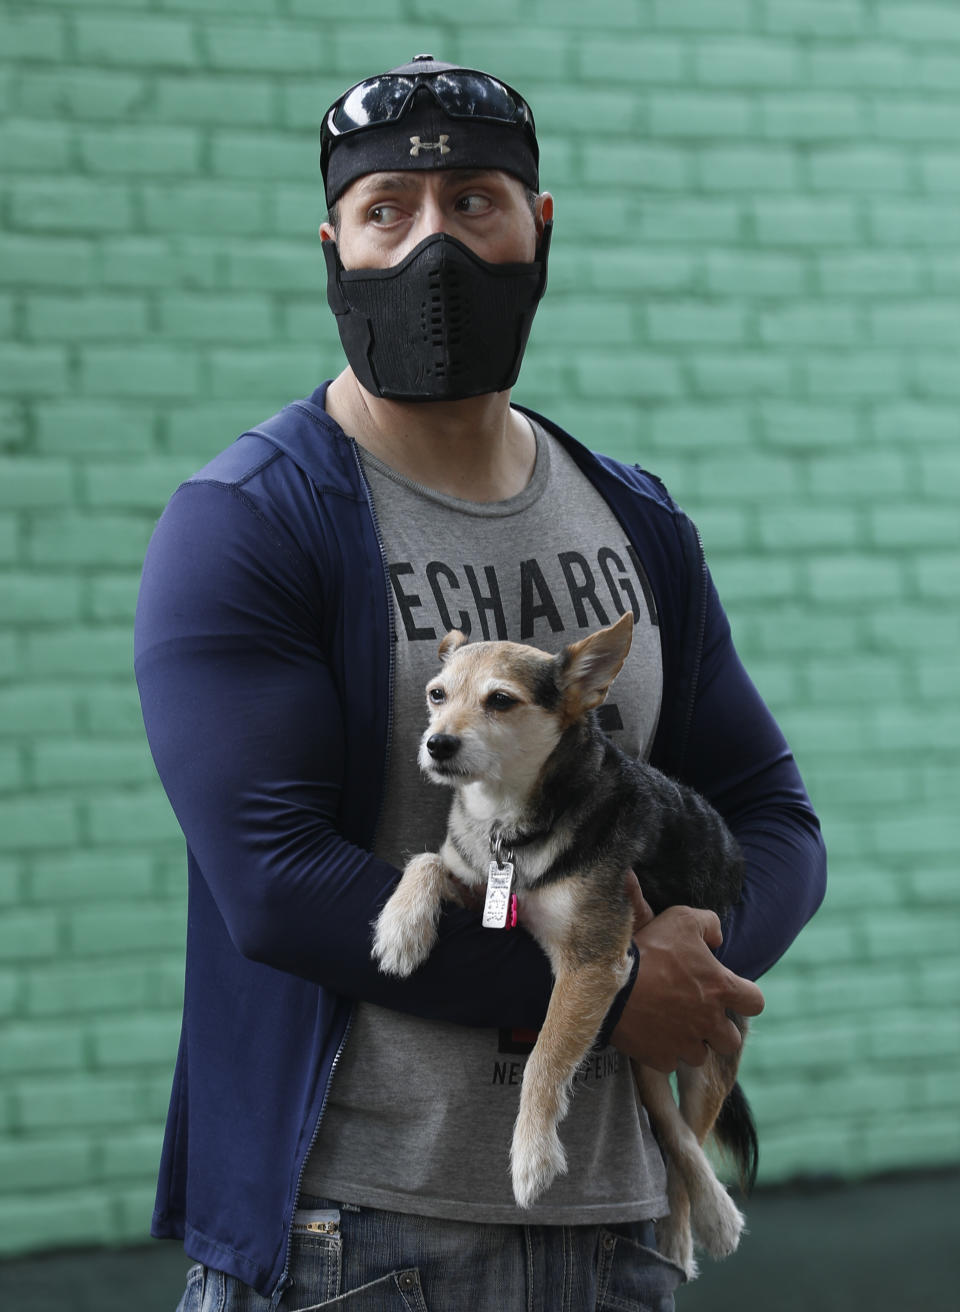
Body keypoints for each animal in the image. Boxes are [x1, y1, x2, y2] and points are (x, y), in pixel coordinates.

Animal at [375, 614, 755, 1280]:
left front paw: (531, 1157)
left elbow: (545, 1056)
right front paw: (400, 928)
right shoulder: (479, 887)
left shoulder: (593, 965)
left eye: (501, 701)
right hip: (644, 1042)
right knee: (669, 1127)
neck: (507, 819)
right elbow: (428, 860)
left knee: (687, 1135)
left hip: (710, 1043)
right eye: (436, 695)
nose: (437, 744)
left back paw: (699, 1225)